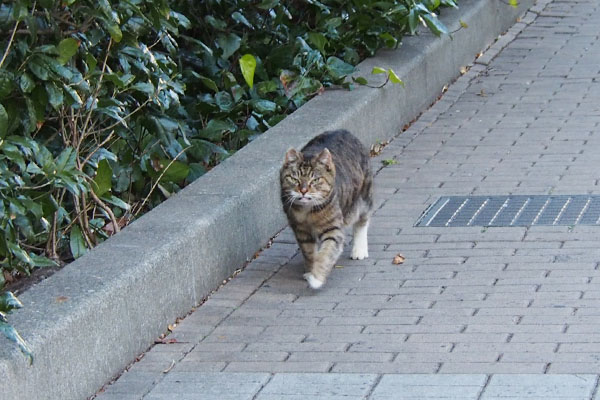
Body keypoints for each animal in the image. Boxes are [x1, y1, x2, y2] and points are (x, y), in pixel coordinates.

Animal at [278, 130, 372, 290]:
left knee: (362, 221)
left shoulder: (332, 229)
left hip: (363, 197)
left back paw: (359, 249)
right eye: (295, 179)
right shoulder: (301, 230)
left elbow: (326, 253)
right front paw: (310, 269)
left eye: (315, 180)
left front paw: (316, 277)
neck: (308, 212)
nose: (303, 190)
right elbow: (309, 252)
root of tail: (345, 131)